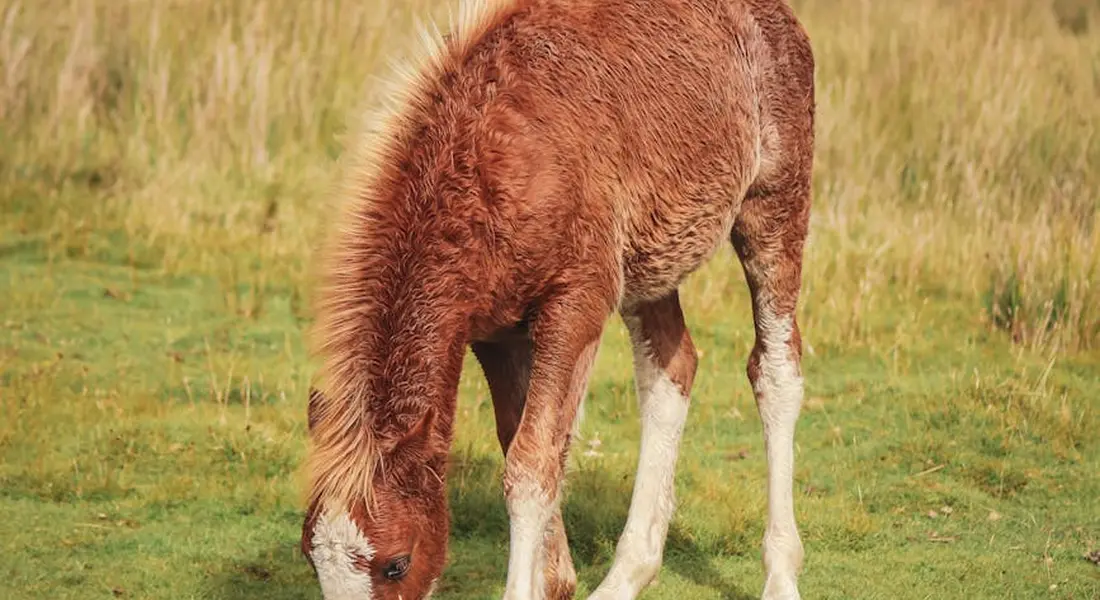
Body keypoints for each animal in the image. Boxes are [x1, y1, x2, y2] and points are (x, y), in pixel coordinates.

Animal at [300, 0, 815, 598]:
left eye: (396, 563)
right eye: (310, 556)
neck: (489, 169)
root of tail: (776, 16)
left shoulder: (575, 305)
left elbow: (531, 463)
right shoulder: (493, 334)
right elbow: (523, 443)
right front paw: (558, 580)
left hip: (773, 208)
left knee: (774, 372)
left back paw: (780, 575)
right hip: (651, 263)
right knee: (672, 369)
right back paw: (626, 575)